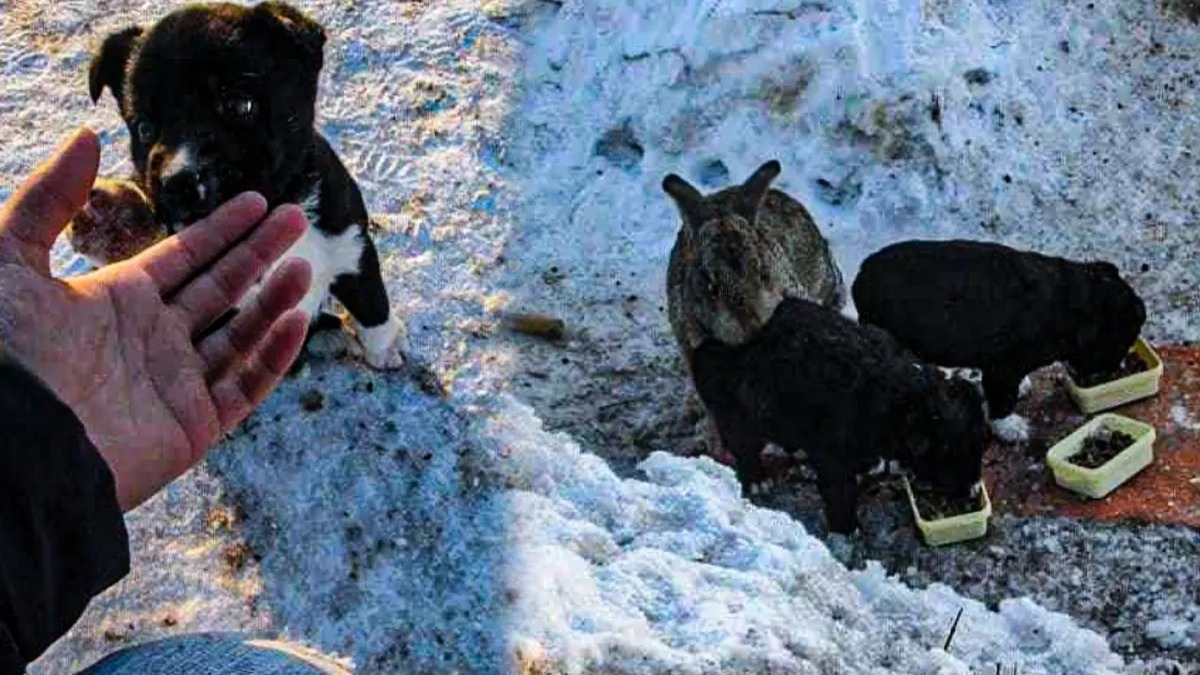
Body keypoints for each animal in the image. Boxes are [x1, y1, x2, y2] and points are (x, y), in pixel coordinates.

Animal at [87, 0, 410, 367]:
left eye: (240, 104)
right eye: (143, 128)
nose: (176, 181)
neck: (274, 209)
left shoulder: (348, 239)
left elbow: (370, 299)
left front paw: (385, 346)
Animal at [696, 294, 984, 530]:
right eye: (949, 453)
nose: (972, 492)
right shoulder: (832, 453)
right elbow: (840, 489)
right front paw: (847, 527)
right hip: (743, 405)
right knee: (742, 441)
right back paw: (757, 480)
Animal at [854, 237, 1142, 441]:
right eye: (1120, 343)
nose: (1116, 369)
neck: (1070, 304)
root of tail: (860, 280)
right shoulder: (1004, 367)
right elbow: (1002, 400)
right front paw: (1012, 428)